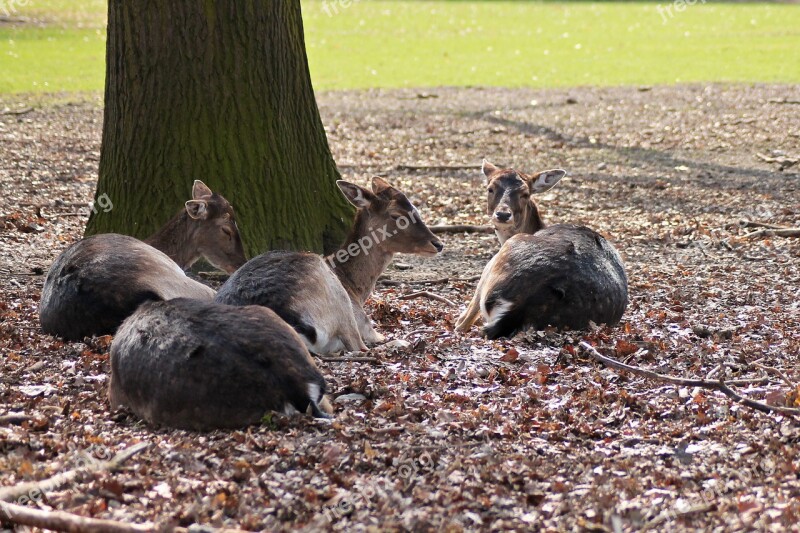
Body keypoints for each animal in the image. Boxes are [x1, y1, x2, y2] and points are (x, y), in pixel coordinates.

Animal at [216, 177, 444, 354]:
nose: (438, 244)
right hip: (336, 297)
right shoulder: (362, 320)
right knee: (359, 348)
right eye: (397, 216)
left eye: (416, 210)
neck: (355, 288)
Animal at [454, 160, 628, 338]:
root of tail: (522, 306)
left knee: (463, 321)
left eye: (525, 193)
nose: (502, 214)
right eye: (490, 188)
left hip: (501, 258)